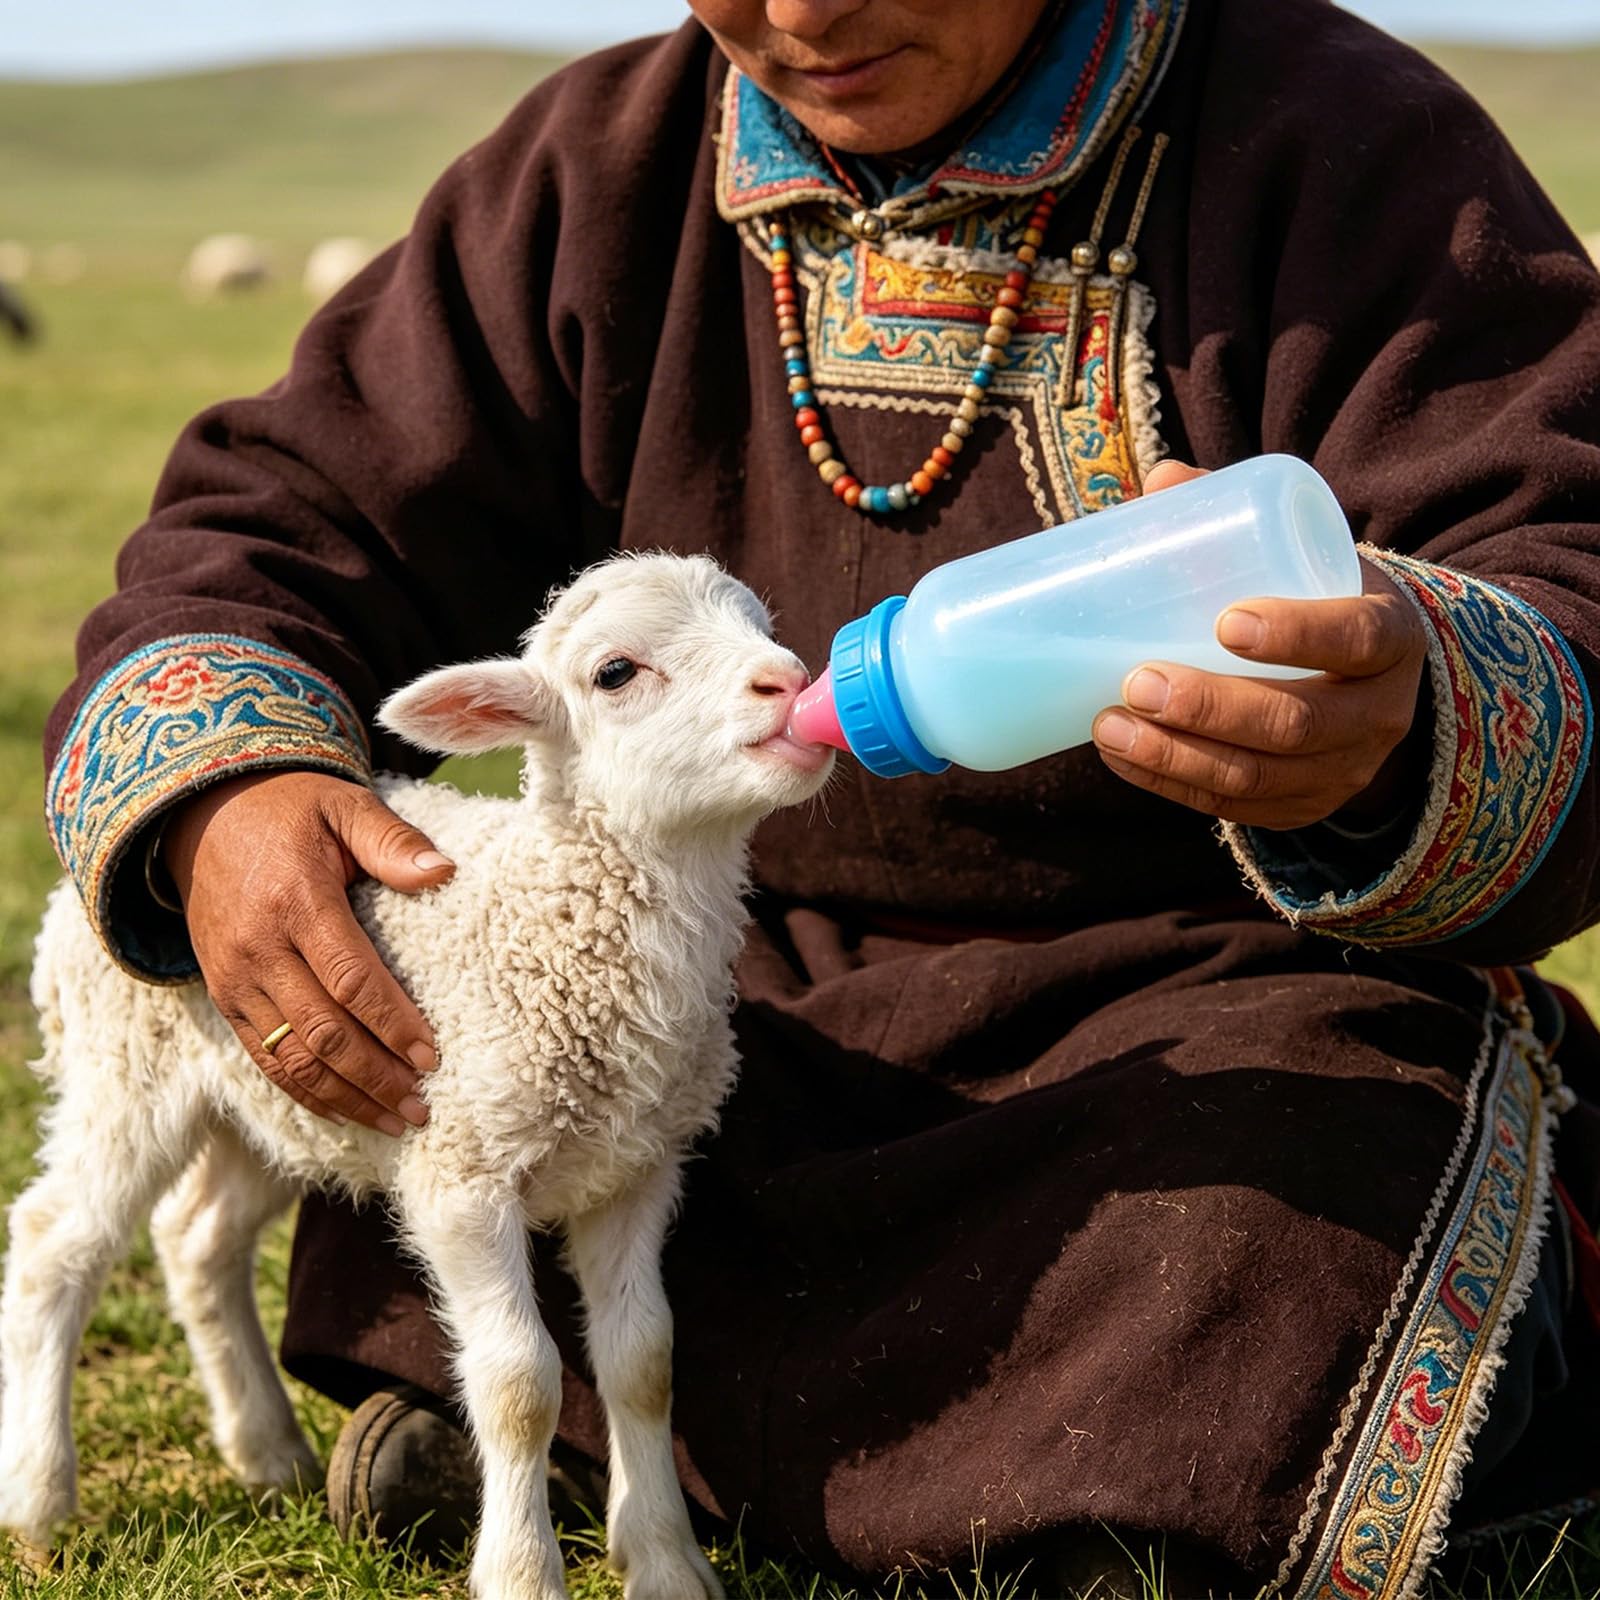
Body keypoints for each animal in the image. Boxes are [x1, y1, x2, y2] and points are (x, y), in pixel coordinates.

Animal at [2, 553, 834, 1600]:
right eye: (614, 673)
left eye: (760, 624)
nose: (789, 680)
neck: (553, 917)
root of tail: (76, 902)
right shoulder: (463, 1168)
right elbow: (520, 1384)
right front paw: (523, 1574)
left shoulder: (635, 1168)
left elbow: (644, 1361)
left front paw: (667, 1565)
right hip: (125, 1071)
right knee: (54, 1244)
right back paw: (39, 1504)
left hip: (274, 1097)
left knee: (196, 1237)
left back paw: (267, 1453)